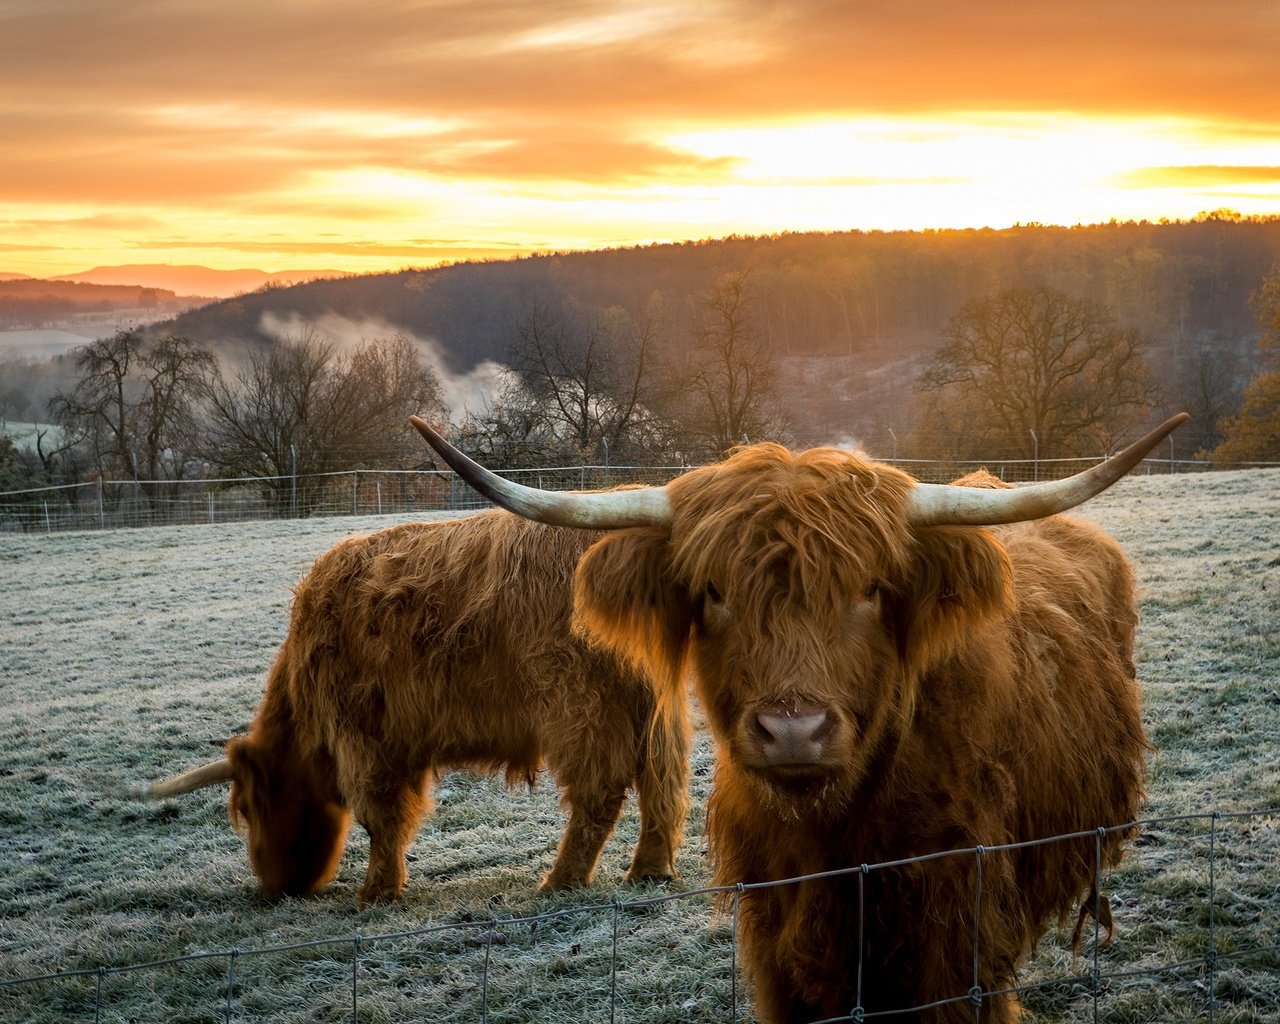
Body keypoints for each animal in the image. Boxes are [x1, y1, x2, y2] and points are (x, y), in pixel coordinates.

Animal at [133, 512, 691, 906]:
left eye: (249, 809)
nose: (273, 888)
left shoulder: (363, 736)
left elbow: (381, 816)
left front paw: (377, 892)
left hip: (579, 705)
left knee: (600, 790)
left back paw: (560, 882)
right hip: (652, 708)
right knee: (662, 782)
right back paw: (649, 871)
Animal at [412, 414, 1187, 1024]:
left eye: (872, 589)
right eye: (714, 591)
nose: (793, 732)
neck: (834, 843)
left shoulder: (956, 944)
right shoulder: (775, 944)